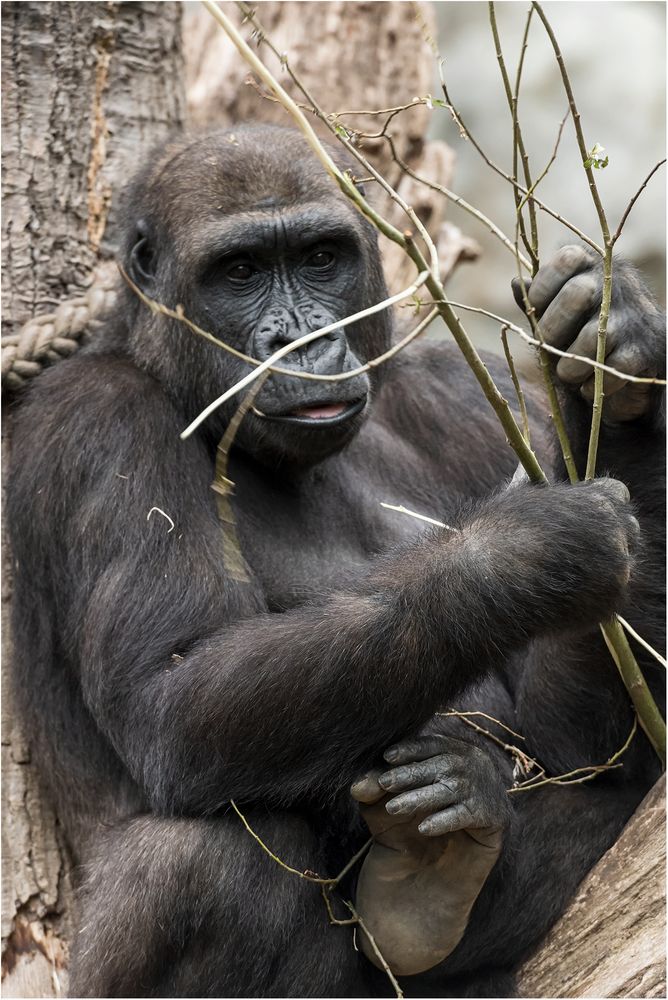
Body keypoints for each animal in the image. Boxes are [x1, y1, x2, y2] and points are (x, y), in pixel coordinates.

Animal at [7, 127, 664, 1000]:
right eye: (240, 271)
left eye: (322, 257)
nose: (303, 342)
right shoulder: (94, 420)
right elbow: (169, 690)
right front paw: (521, 556)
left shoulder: (461, 392)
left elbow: (582, 751)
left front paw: (611, 354)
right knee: (200, 864)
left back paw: (432, 880)